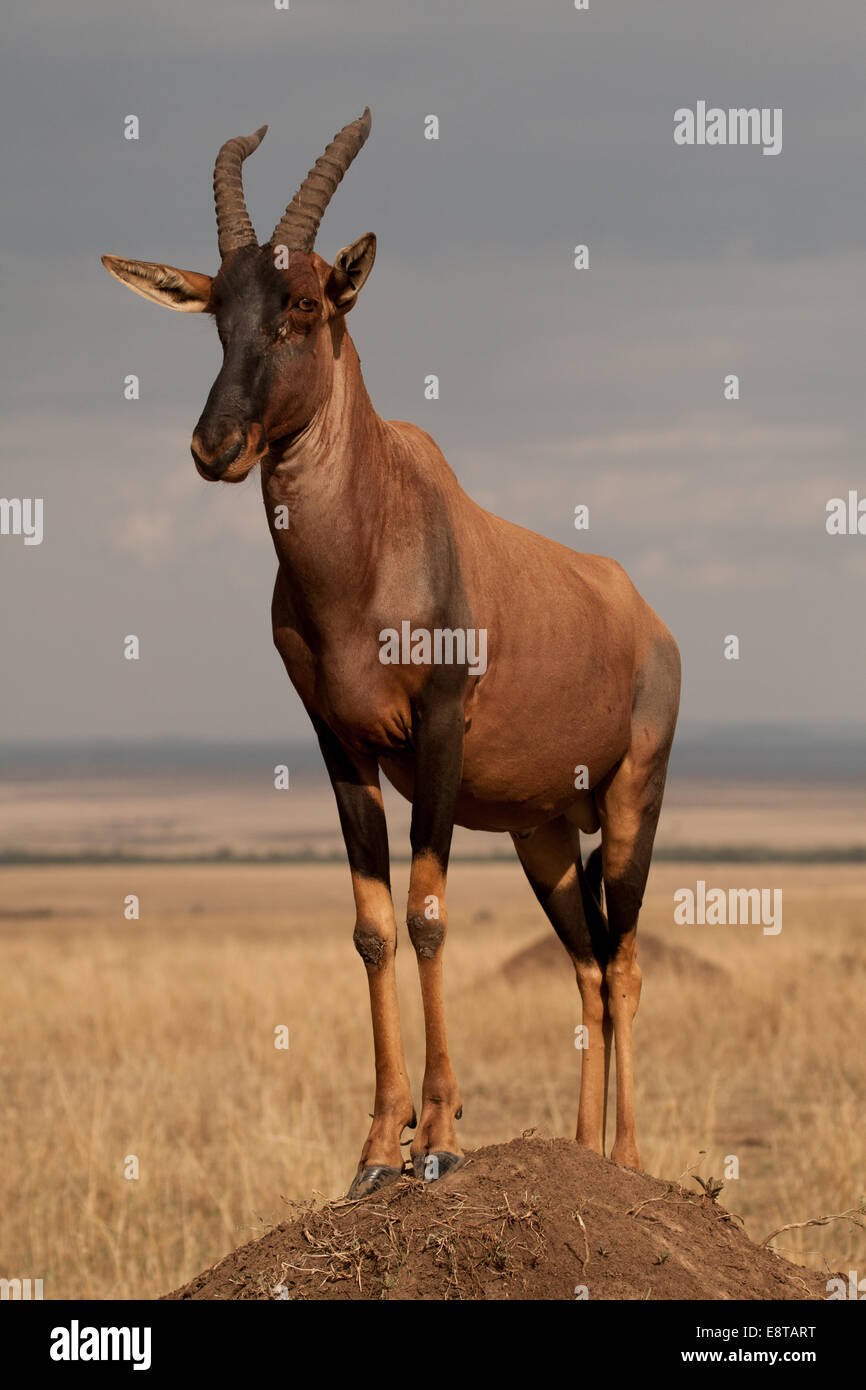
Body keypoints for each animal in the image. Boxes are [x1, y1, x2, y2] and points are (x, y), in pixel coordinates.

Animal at [103, 108, 683, 1195]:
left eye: (304, 303)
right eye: (217, 311)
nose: (215, 446)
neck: (377, 533)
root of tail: (643, 614)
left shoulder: (441, 732)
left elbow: (427, 913)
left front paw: (442, 1136)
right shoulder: (341, 745)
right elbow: (372, 925)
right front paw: (377, 1148)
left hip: (633, 797)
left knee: (625, 962)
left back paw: (628, 1160)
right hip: (545, 831)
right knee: (586, 963)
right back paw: (581, 1151)